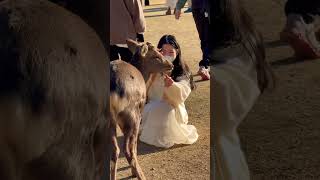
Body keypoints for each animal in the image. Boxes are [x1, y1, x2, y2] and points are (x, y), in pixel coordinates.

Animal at [110, 39, 175, 180]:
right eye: (156, 55)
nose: (171, 65)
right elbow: (134, 147)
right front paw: (134, 172)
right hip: (132, 114)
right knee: (128, 149)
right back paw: (141, 175)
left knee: (113, 150)